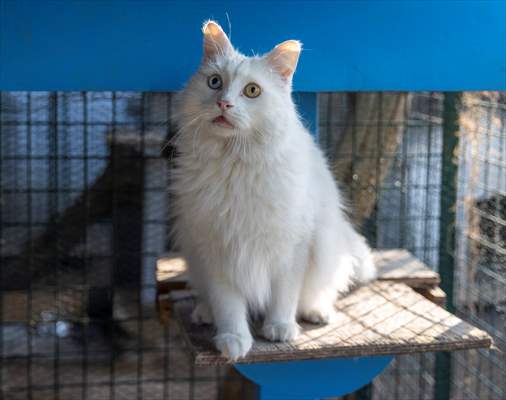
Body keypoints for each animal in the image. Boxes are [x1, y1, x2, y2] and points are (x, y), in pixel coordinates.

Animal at [172, 20, 378, 360]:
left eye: (252, 91)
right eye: (214, 82)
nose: (223, 103)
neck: (236, 165)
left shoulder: (292, 247)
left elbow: (285, 294)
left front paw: (280, 328)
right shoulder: (217, 248)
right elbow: (228, 304)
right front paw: (233, 340)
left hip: (328, 247)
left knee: (320, 291)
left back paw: (317, 312)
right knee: (207, 296)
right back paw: (205, 313)